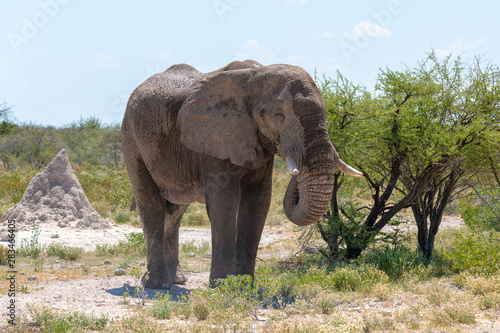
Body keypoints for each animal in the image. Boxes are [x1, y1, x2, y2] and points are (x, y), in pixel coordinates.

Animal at [122, 59, 364, 288]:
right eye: (278, 115)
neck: (255, 75)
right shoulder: (213, 135)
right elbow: (224, 201)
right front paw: (222, 285)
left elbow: (258, 201)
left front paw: (245, 285)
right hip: (131, 139)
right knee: (150, 203)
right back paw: (159, 284)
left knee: (175, 211)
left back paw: (177, 280)